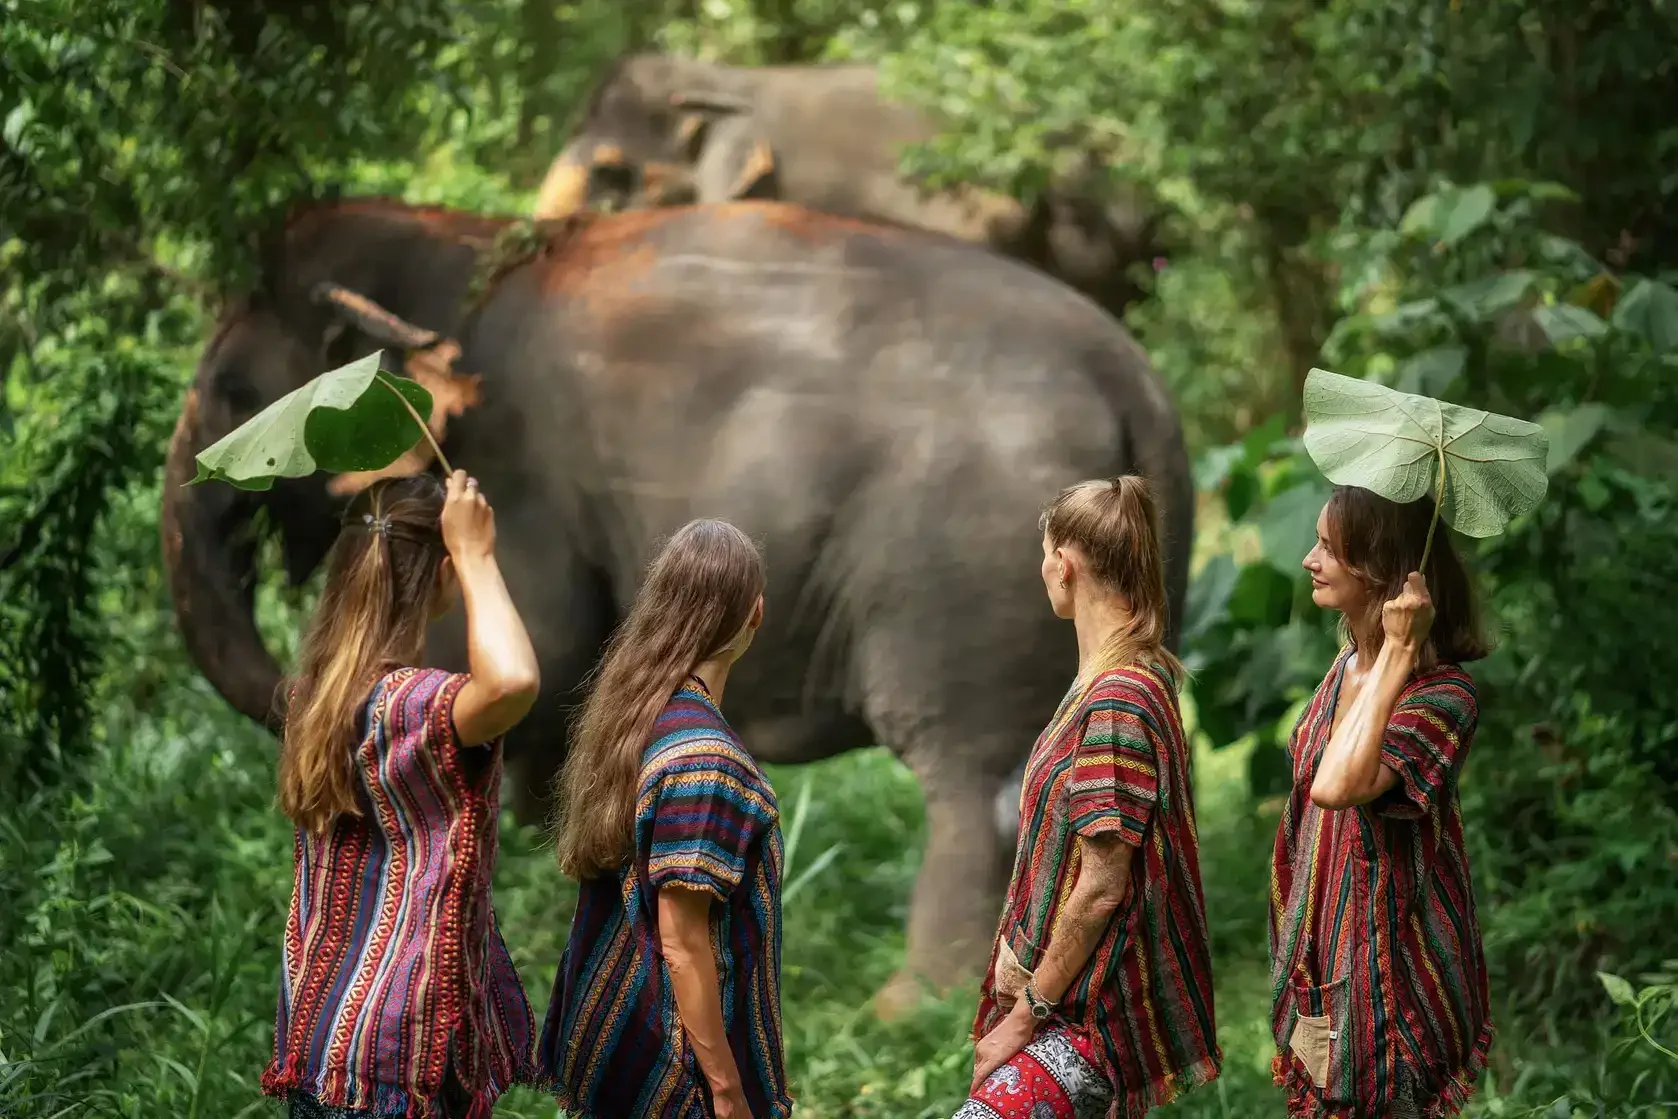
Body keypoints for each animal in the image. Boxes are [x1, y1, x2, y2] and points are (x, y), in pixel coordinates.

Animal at [160, 195, 1194, 1015]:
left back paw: (908, 1008)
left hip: (964, 567)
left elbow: (531, 647)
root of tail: (1138, 377)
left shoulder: (519, 474)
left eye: (238, 390)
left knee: (980, 787)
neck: (464, 244)